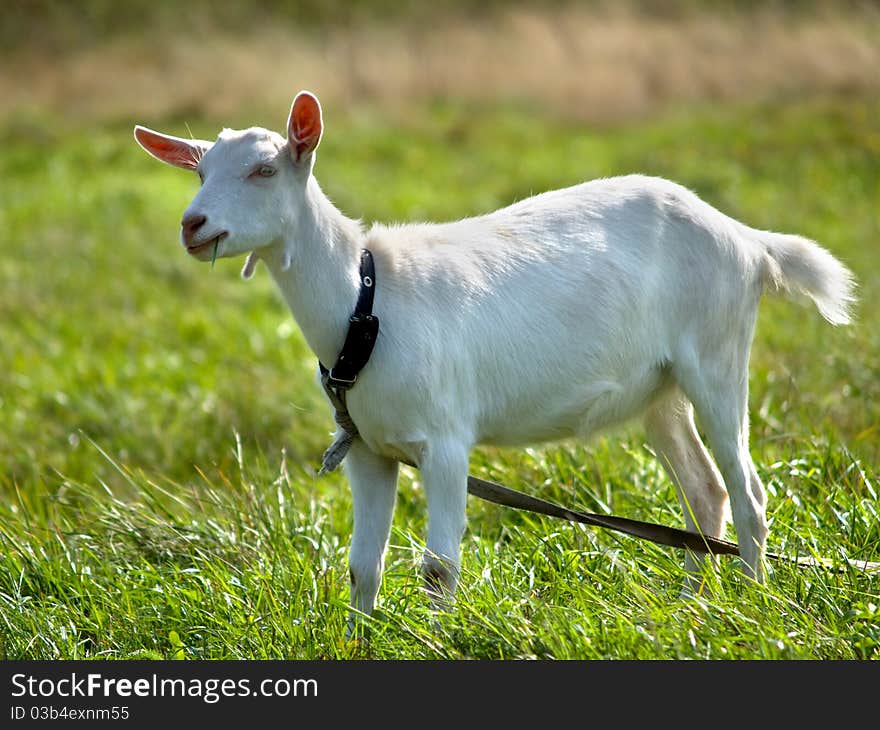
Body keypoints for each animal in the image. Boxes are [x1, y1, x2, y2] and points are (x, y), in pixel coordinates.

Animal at [134, 89, 856, 616]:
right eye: (200, 171)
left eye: (263, 169)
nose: (193, 225)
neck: (366, 299)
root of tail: (746, 238)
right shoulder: (368, 448)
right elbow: (362, 566)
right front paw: (359, 636)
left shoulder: (446, 440)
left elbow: (438, 566)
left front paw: (436, 637)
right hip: (659, 390)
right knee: (705, 491)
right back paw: (690, 609)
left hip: (717, 352)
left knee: (748, 489)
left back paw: (754, 605)